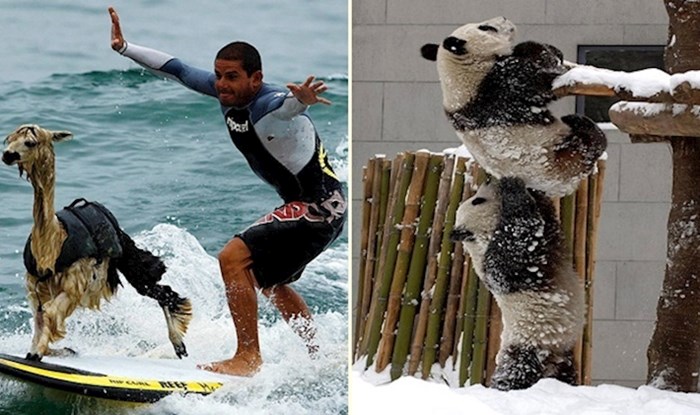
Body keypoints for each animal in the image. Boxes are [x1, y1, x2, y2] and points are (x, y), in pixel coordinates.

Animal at [422, 16, 608, 198]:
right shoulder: (498, 87)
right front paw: (531, 49)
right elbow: (538, 79)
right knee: (589, 144)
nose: (505, 18)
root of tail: (561, 188)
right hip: (562, 155)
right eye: (486, 27)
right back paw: (580, 123)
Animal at [452, 177, 584, 392]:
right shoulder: (502, 264)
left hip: (563, 352)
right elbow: (518, 240)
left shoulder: (548, 237)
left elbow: (546, 219)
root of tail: (550, 362)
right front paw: (512, 186)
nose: (487, 180)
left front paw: (534, 191)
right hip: (526, 344)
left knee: (566, 374)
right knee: (516, 372)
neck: (480, 237)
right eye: (477, 201)